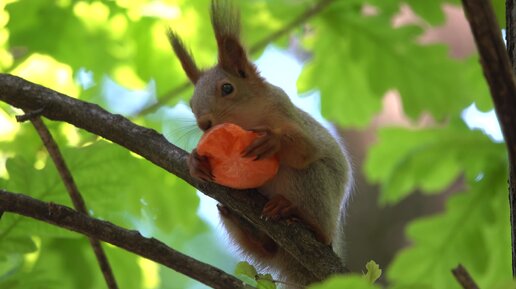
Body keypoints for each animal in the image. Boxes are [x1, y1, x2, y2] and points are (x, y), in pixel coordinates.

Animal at [167, 1, 352, 286]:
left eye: (228, 88)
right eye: (191, 102)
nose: (204, 123)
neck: (251, 118)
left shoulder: (287, 114)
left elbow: (306, 150)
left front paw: (271, 142)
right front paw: (194, 160)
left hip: (314, 186)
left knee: (317, 225)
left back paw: (294, 212)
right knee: (265, 248)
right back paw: (242, 224)